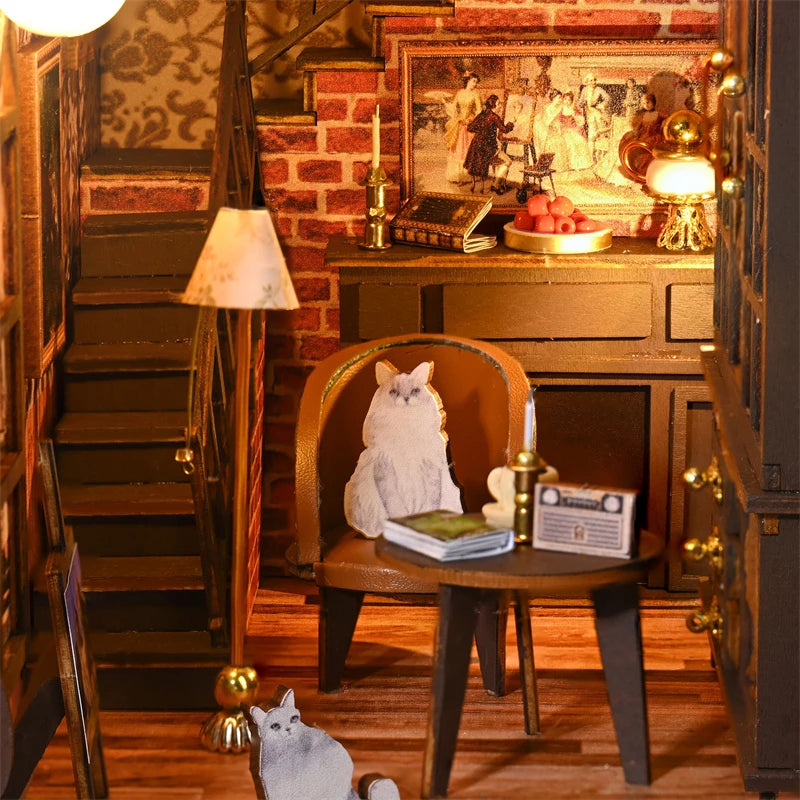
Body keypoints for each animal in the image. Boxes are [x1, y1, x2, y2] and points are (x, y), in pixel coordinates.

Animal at [342, 360, 462, 536]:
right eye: (394, 392)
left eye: (414, 391)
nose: (405, 398)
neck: (405, 428)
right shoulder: (384, 469)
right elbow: (396, 507)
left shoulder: (430, 470)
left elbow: (428, 503)